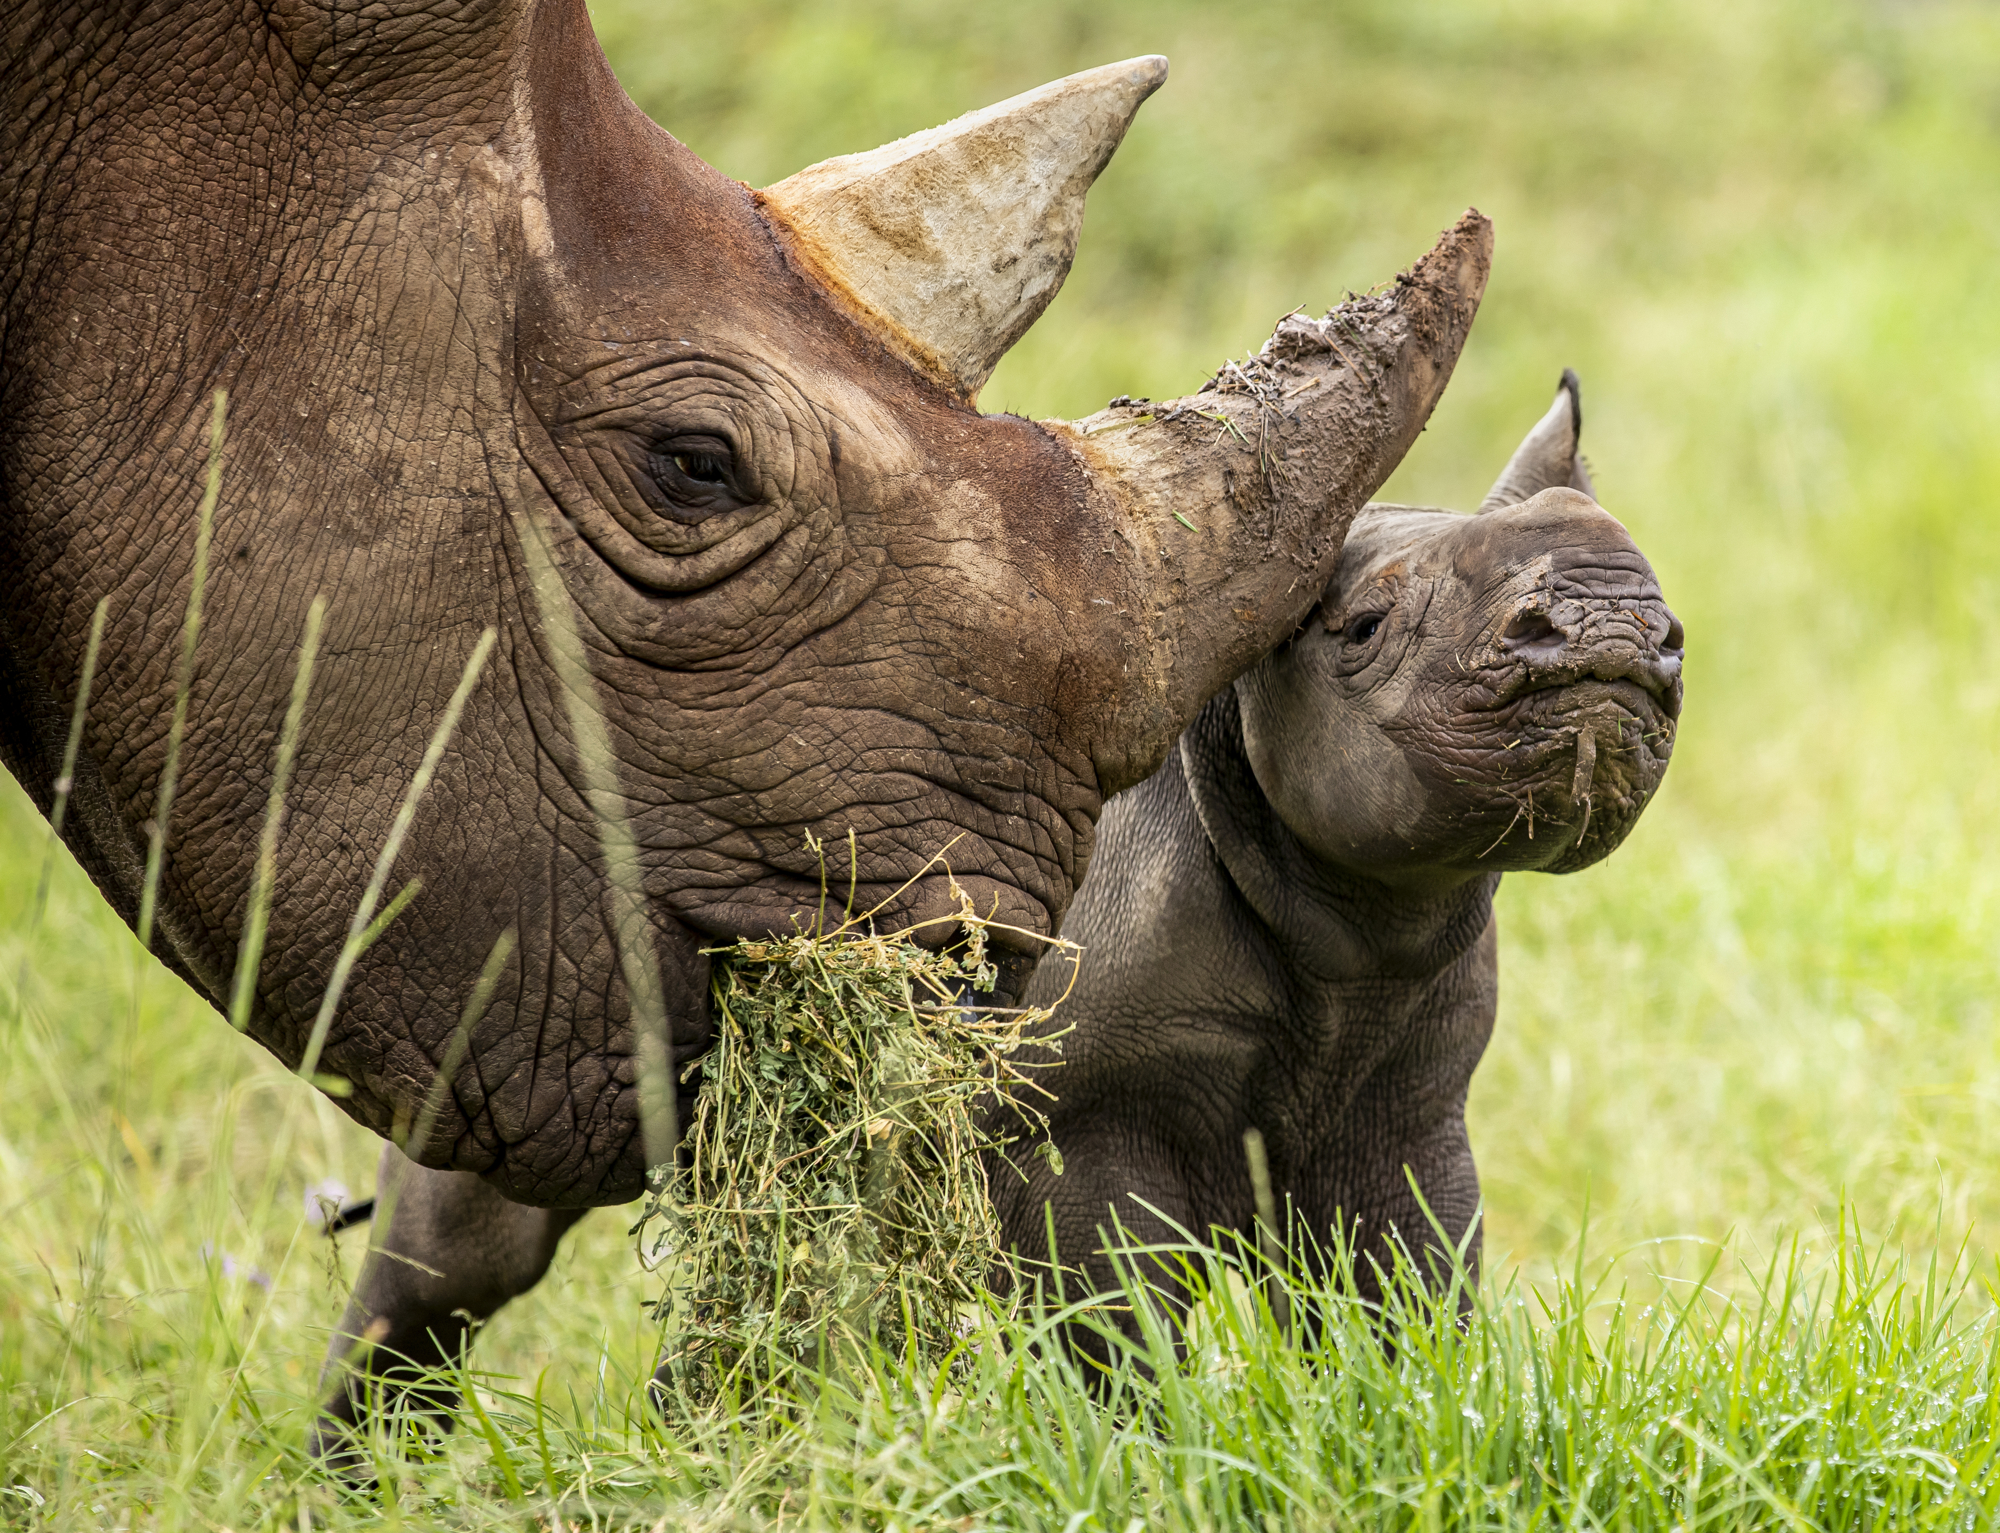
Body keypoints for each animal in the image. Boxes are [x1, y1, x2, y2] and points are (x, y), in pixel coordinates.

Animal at [991, 373, 1683, 1357]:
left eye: (1671, 635)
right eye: (1362, 628)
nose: (1614, 619)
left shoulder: (1403, 1104)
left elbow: (1402, 1291)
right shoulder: (1073, 1114)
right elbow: (1110, 1329)